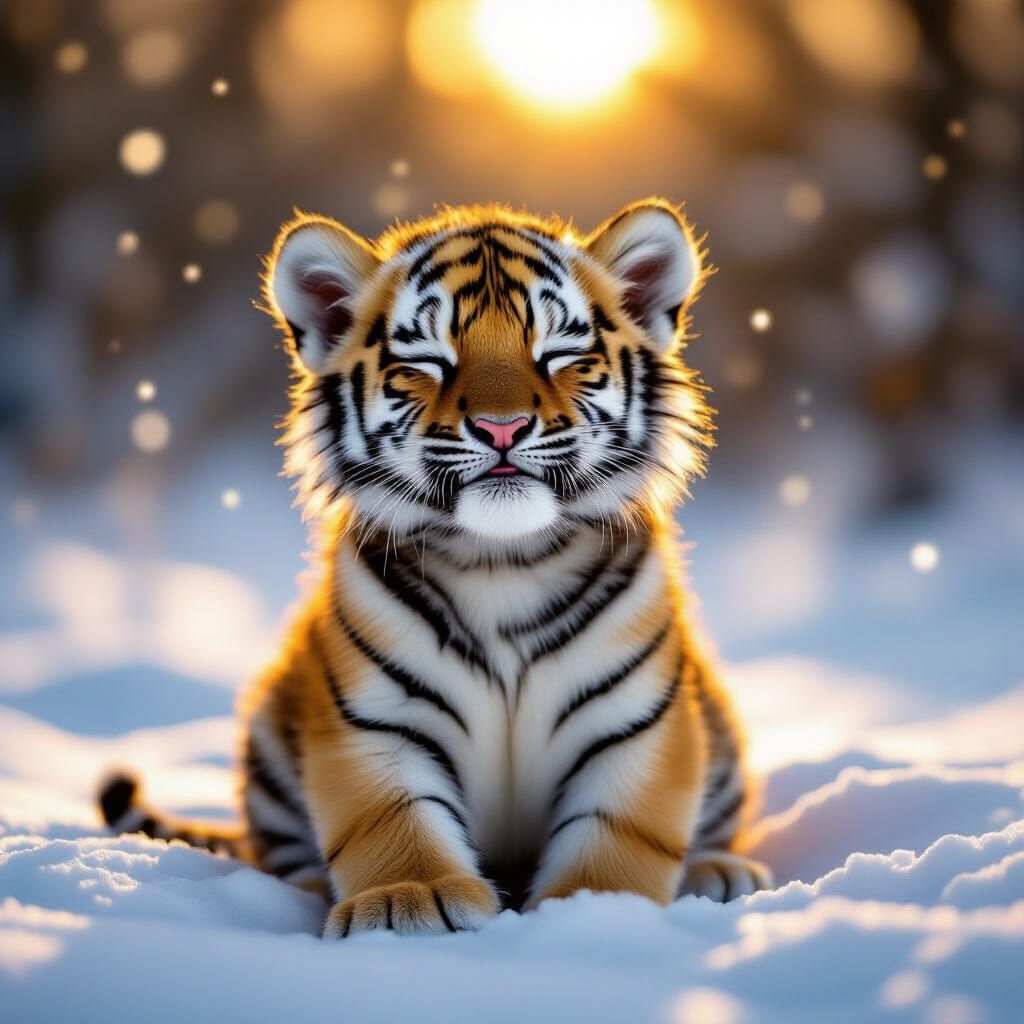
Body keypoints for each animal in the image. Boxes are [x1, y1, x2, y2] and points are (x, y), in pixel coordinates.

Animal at [98, 198, 772, 937]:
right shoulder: (377, 720)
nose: (503, 427)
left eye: (559, 353)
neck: (503, 561)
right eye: (427, 360)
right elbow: (393, 817)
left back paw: (717, 873)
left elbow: (619, 835)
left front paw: (593, 912)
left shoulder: (633, 724)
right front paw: (406, 905)